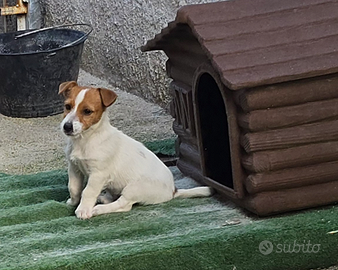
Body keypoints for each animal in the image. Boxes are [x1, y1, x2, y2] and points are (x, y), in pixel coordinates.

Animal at [57, 81, 211, 219]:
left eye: (87, 111)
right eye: (67, 106)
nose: (67, 127)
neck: (85, 139)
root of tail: (173, 191)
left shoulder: (98, 174)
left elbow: (88, 191)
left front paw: (83, 209)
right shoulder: (74, 167)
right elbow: (74, 188)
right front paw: (73, 202)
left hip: (134, 188)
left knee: (124, 205)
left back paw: (98, 209)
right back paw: (104, 198)